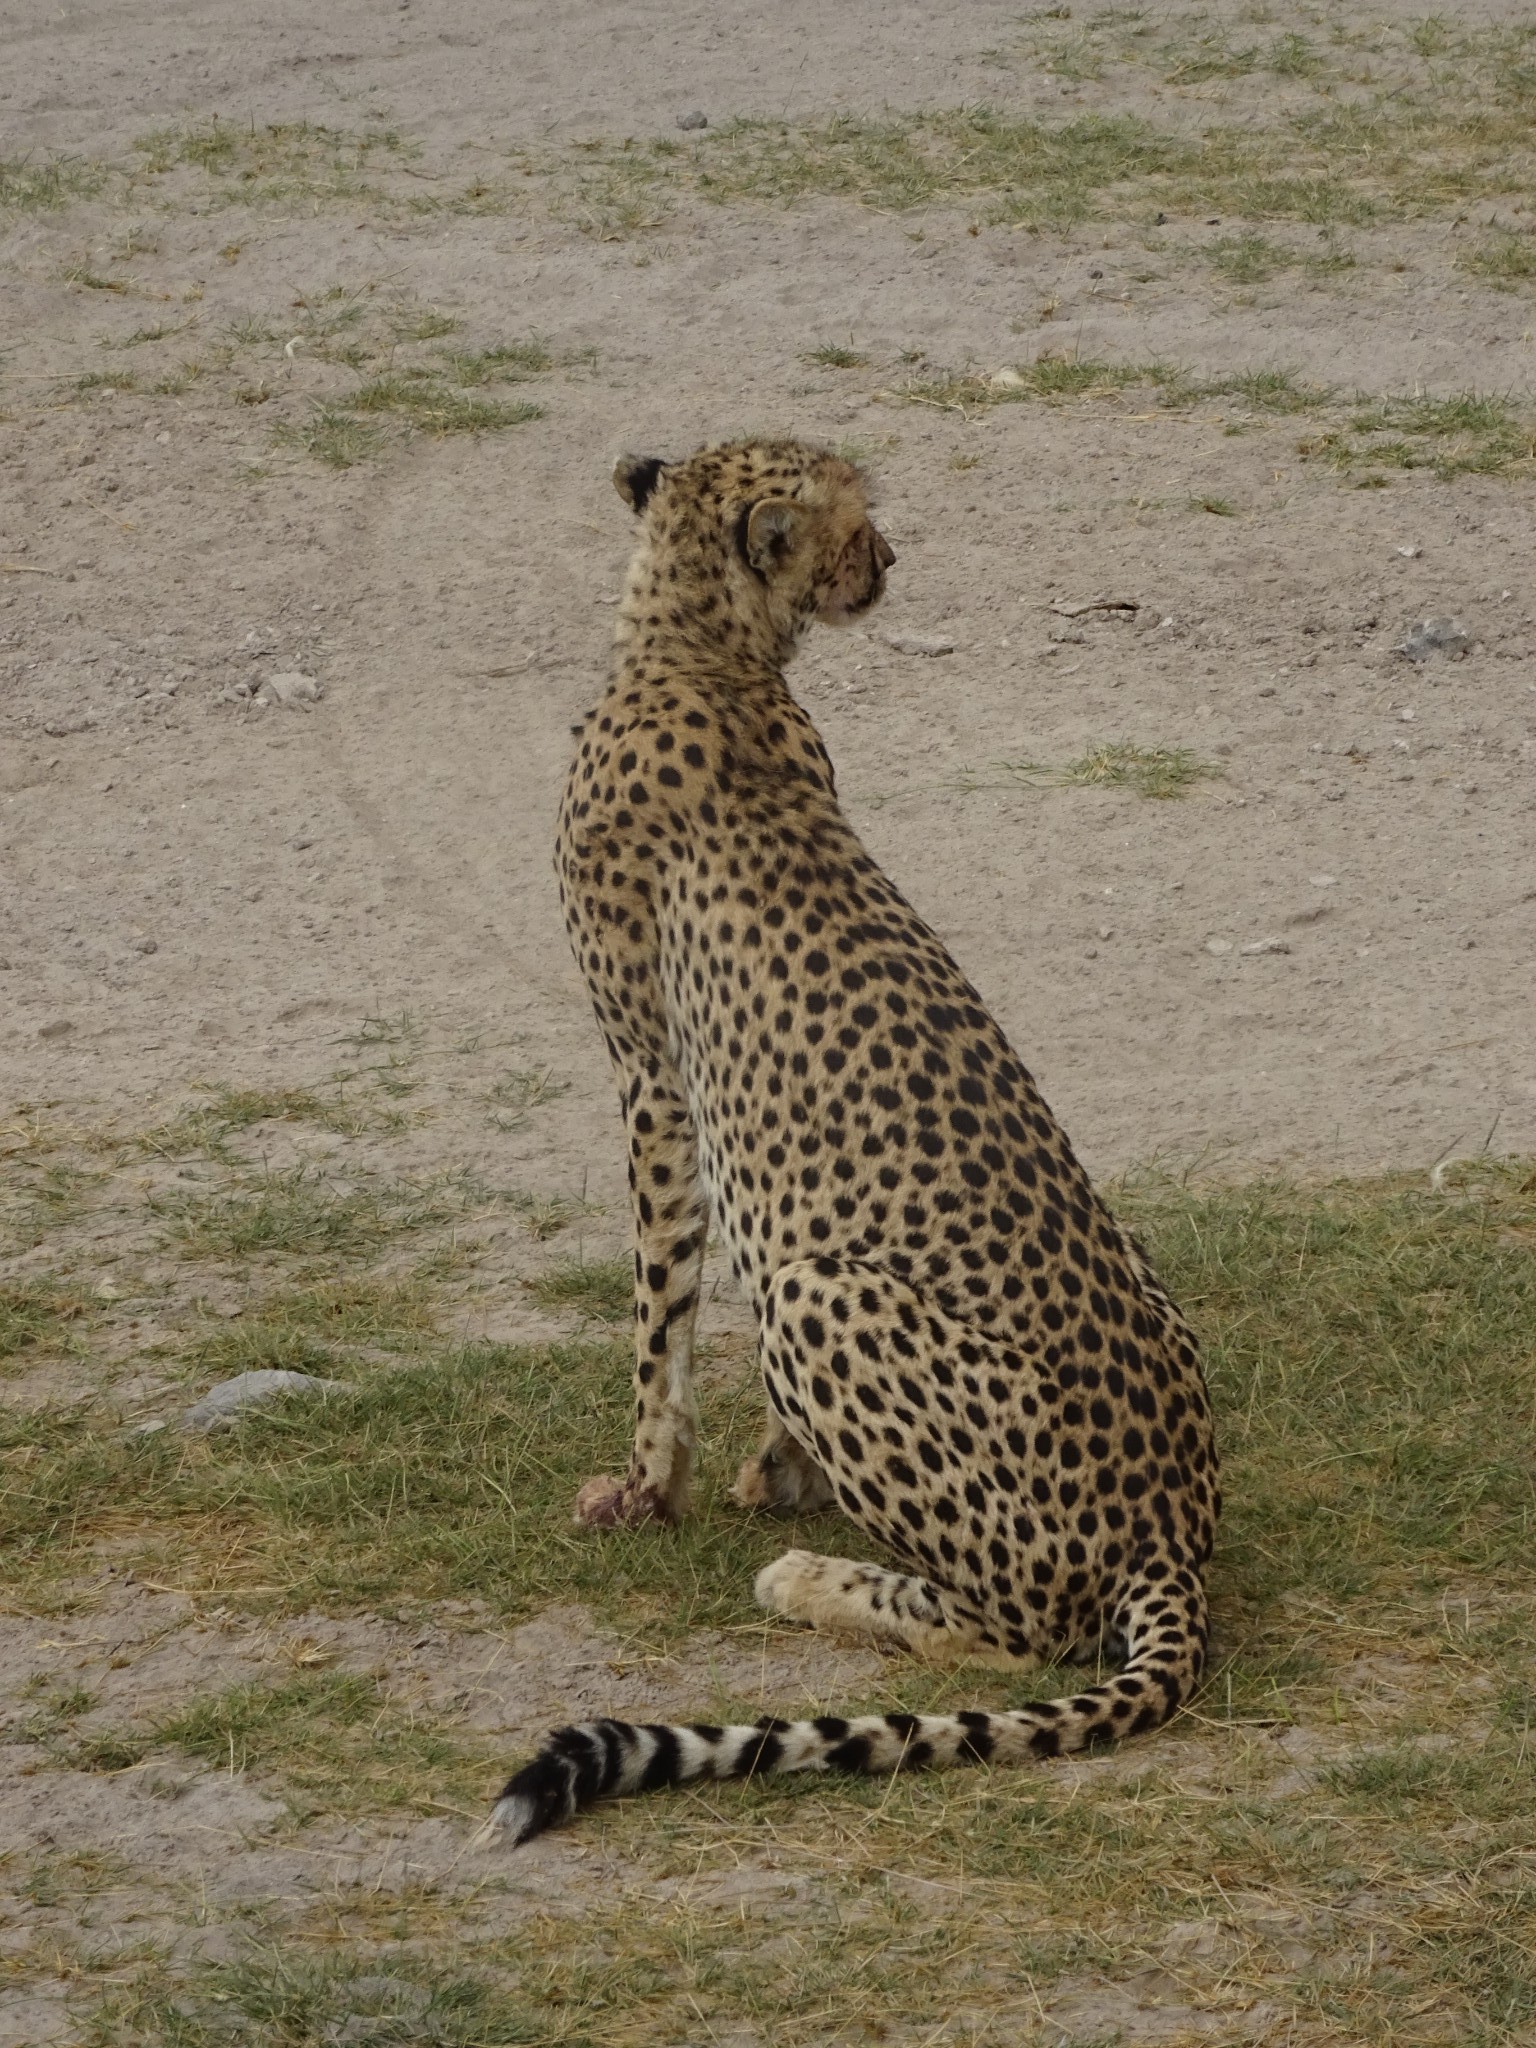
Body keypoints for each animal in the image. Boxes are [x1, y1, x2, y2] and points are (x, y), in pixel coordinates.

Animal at [487, 440, 1220, 1851]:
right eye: (857, 517)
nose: (893, 557)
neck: (699, 647)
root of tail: (1176, 1521)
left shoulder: (654, 1082)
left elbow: (658, 1320)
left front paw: (647, 1486)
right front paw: (775, 1467)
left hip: (821, 1293)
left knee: (1023, 1633)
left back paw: (813, 1577)